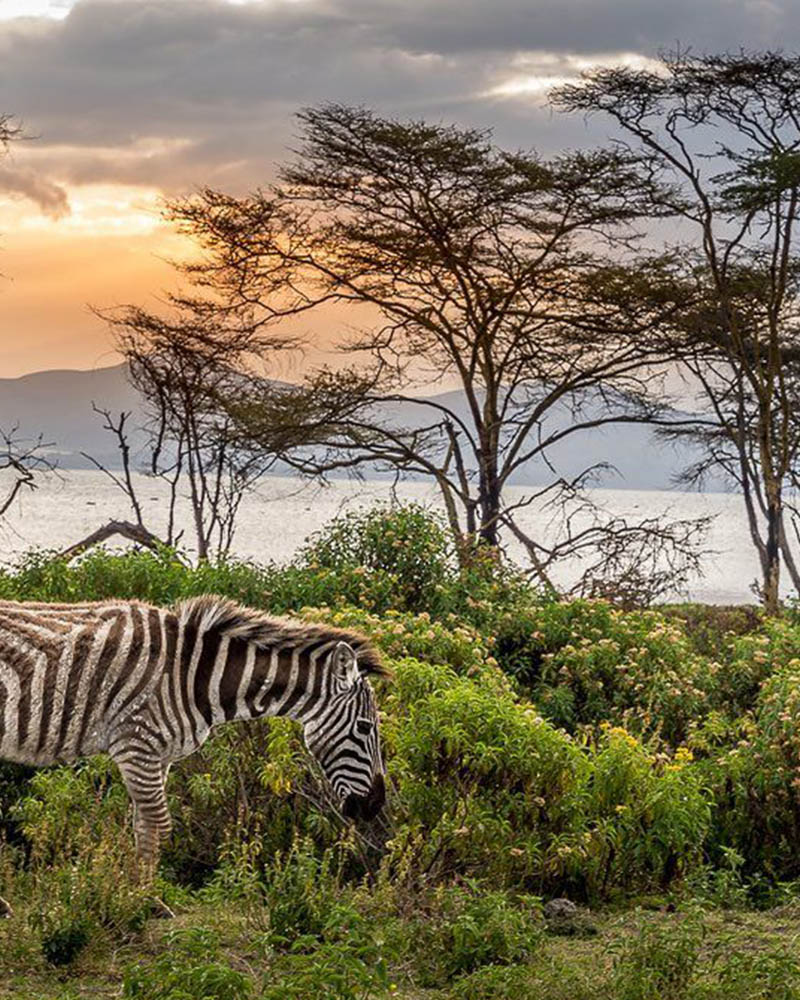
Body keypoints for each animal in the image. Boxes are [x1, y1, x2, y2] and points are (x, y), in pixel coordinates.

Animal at [0, 594, 387, 918]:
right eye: (365, 727)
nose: (375, 805)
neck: (192, 675)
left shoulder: (159, 755)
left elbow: (144, 827)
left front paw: (141, 897)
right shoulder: (136, 743)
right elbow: (159, 824)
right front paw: (143, 901)